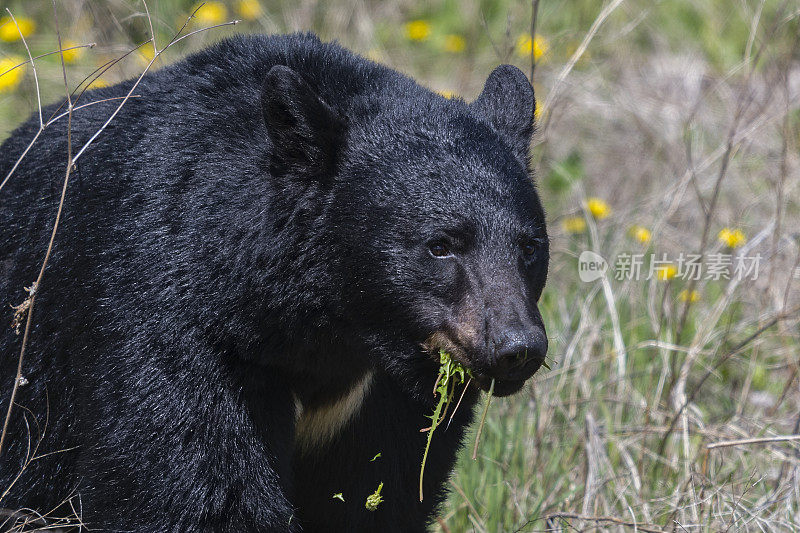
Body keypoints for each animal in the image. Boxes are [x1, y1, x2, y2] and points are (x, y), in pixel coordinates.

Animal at [0, 31, 552, 528]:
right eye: (441, 244)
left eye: (529, 247)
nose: (517, 347)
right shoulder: (176, 320)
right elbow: (190, 483)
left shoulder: (384, 398)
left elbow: (377, 491)